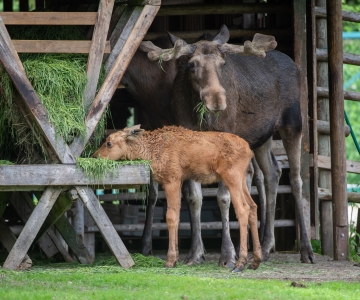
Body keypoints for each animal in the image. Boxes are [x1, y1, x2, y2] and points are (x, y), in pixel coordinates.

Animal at [93, 125, 262, 272]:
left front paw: (170, 260)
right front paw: (175, 259)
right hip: (241, 179)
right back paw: (255, 261)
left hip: (231, 177)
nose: (94, 156)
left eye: (108, 143)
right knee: (253, 206)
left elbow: (171, 217)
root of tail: (250, 151)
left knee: (243, 209)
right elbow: (177, 216)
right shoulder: (177, 181)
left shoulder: (172, 179)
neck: (150, 152)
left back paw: (240, 264)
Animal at [141, 25, 316, 264]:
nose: (217, 102)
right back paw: (266, 247)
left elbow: (223, 198)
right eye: (192, 65)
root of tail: (296, 67)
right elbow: (194, 198)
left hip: (294, 123)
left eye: (222, 64)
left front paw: (228, 253)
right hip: (261, 137)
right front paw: (195, 253)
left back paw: (306, 250)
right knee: (273, 172)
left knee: (297, 180)